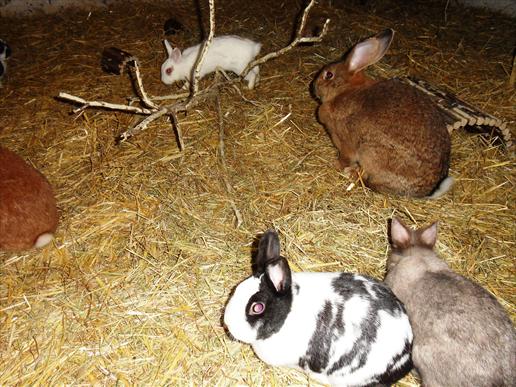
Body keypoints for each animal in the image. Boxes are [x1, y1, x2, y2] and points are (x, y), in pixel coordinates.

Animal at [310, 29, 452, 199]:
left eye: (329, 75)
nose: (313, 86)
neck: (344, 90)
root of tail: (424, 191)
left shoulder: (345, 142)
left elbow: (346, 157)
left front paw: (336, 165)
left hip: (370, 153)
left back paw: (351, 173)